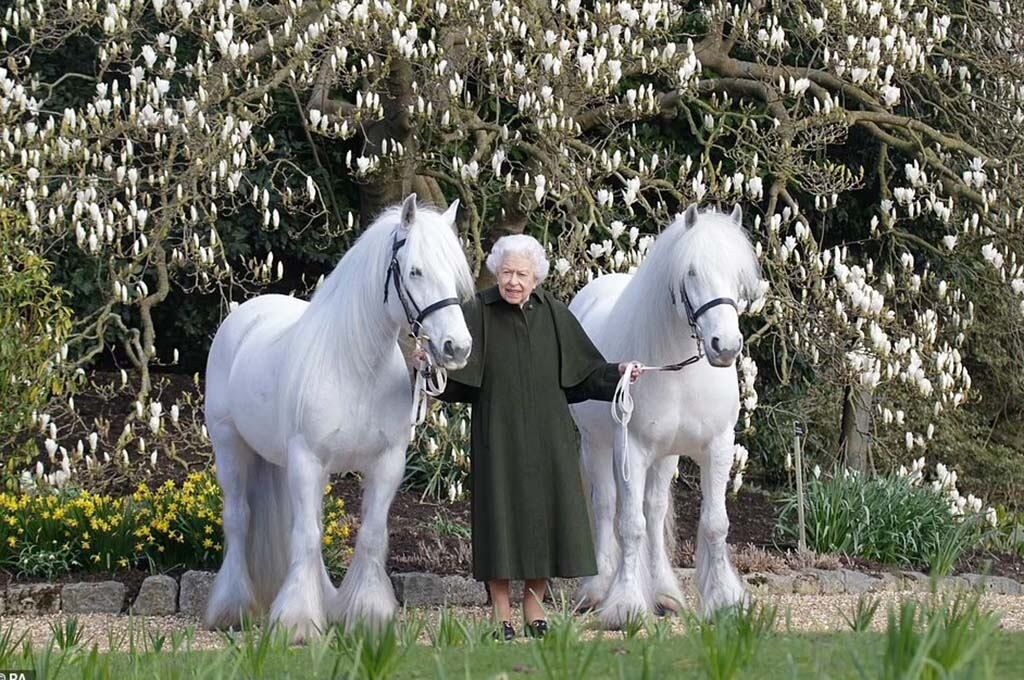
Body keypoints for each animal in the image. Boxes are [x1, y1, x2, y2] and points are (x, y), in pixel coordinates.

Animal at [203, 194, 474, 641]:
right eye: (415, 271)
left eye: (454, 275)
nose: (457, 347)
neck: (355, 366)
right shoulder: (307, 459)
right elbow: (307, 537)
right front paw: (296, 623)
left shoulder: (386, 463)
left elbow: (370, 535)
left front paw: (367, 615)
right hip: (231, 447)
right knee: (239, 519)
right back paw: (232, 608)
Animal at [569, 204, 762, 628]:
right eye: (691, 272)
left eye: (738, 274)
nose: (726, 346)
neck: (680, 370)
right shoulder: (632, 449)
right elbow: (629, 525)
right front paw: (625, 605)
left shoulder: (718, 446)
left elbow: (714, 524)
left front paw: (724, 601)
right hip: (596, 445)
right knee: (607, 507)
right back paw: (597, 590)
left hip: (665, 456)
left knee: (655, 512)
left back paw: (664, 594)